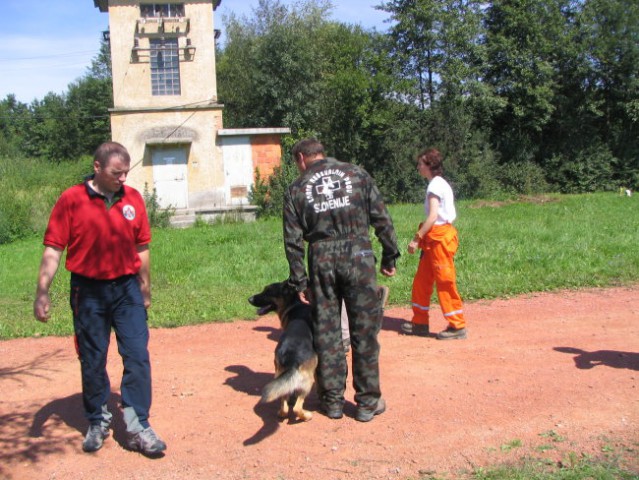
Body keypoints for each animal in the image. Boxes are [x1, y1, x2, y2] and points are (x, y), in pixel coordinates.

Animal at [250, 282, 320, 420]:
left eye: (267, 292)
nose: (249, 299)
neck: (293, 305)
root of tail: (292, 356)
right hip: (308, 381)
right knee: (297, 408)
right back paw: (306, 415)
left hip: (279, 375)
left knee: (284, 403)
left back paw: (282, 412)